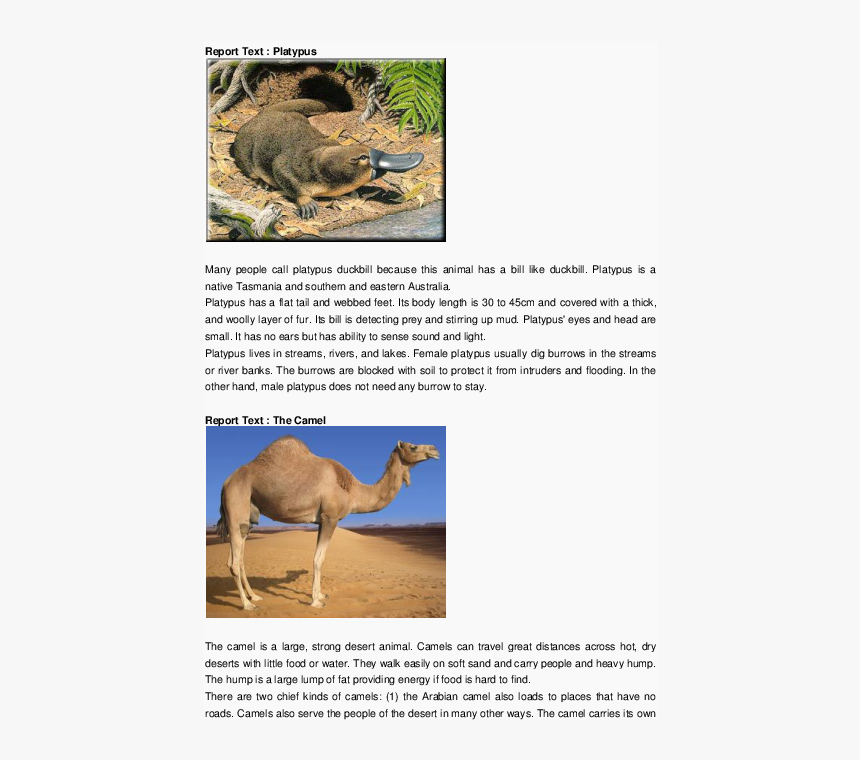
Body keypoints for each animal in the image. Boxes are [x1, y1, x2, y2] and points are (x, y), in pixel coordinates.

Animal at [216, 436, 440, 610]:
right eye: (413, 446)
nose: (435, 449)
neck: (354, 490)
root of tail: (225, 483)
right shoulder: (330, 517)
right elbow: (318, 559)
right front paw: (316, 601)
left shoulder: (321, 521)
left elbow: (319, 558)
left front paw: (321, 595)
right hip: (237, 505)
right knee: (234, 562)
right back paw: (247, 604)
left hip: (247, 518)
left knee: (239, 558)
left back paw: (254, 596)